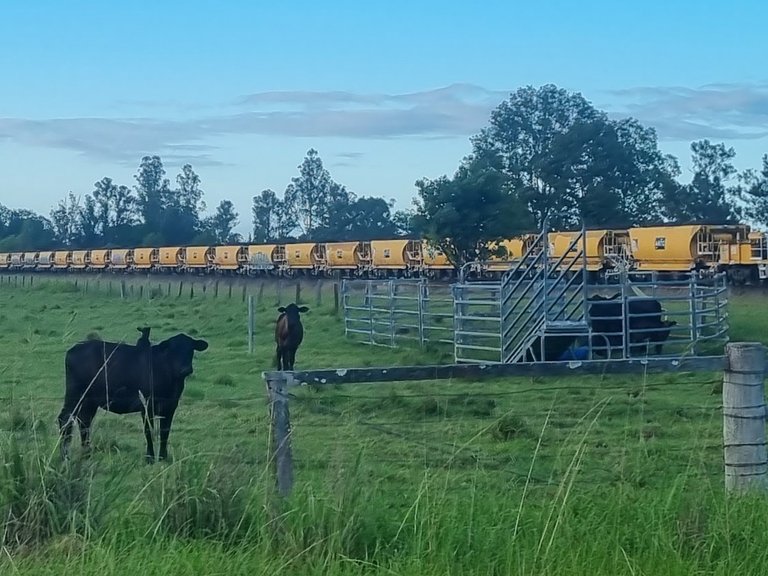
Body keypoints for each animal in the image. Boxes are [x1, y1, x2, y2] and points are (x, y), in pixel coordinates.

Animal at [57, 330, 208, 462]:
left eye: (190, 349)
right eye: (173, 350)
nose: (185, 369)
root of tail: (76, 348)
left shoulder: (170, 406)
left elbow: (165, 432)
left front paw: (163, 457)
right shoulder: (146, 405)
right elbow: (148, 431)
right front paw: (150, 457)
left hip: (89, 401)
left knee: (84, 422)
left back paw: (86, 453)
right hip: (75, 395)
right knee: (65, 419)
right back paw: (65, 456)